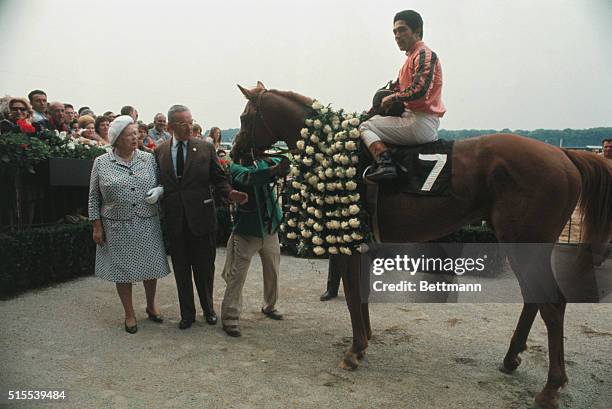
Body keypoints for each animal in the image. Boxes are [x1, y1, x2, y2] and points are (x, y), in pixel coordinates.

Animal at [230, 81, 612, 406]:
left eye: (245, 117)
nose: (235, 153)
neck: (327, 144)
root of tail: (564, 156)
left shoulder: (352, 246)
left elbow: (353, 296)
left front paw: (354, 351)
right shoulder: (366, 248)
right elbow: (361, 297)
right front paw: (365, 342)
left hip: (524, 242)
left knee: (552, 304)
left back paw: (550, 388)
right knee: (535, 300)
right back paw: (511, 358)